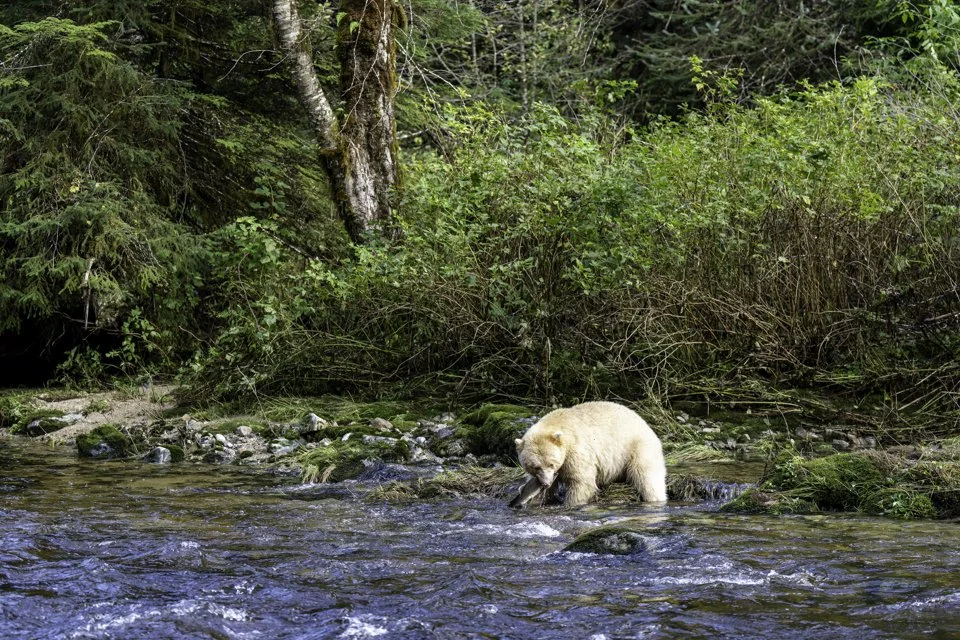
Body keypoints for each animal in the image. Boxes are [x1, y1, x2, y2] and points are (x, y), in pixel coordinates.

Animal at [509, 401, 667, 508]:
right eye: (535, 466)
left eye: (551, 463)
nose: (546, 483)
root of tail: (646, 424)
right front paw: (535, 498)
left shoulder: (577, 451)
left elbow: (582, 481)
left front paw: (571, 503)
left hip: (636, 447)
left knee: (647, 477)